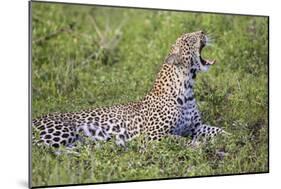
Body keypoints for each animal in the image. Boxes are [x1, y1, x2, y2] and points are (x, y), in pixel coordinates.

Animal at [31, 30, 226, 149]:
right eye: (189, 39)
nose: (203, 32)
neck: (187, 88)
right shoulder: (152, 135)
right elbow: (179, 138)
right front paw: (197, 145)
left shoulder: (196, 127)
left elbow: (217, 130)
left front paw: (229, 137)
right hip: (62, 131)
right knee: (46, 152)